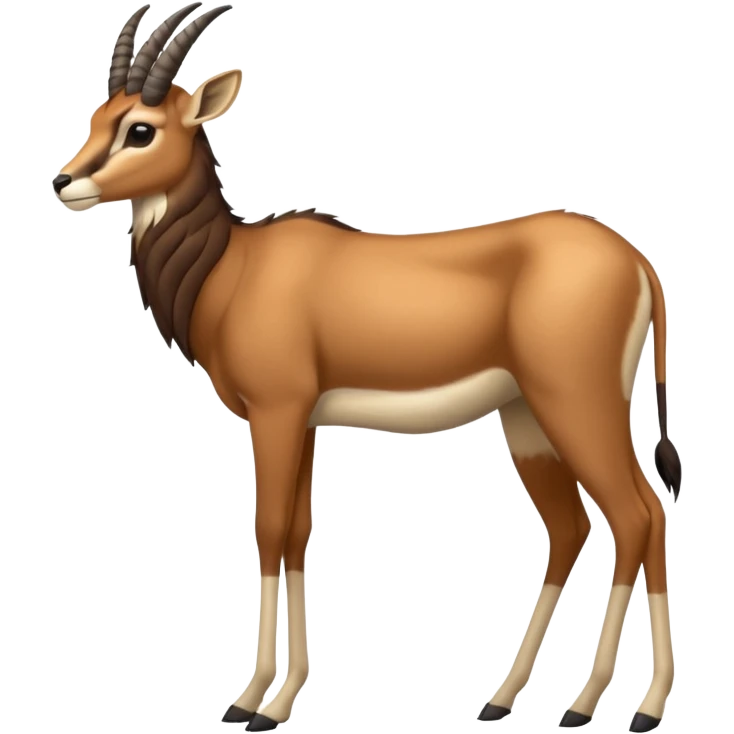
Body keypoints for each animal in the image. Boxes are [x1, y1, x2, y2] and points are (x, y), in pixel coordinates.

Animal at [53, 3, 681, 731]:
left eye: (141, 128)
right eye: (100, 114)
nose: (63, 181)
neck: (232, 265)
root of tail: (638, 261)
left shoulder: (275, 414)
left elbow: (268, 532)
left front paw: (252, 703)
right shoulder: (303, 424)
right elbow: (297, 535)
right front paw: (280, 698)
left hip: (576, 405)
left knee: (637, 515)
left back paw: (612, 707)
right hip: (527, 419)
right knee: (576, 526)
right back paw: (508, 698)